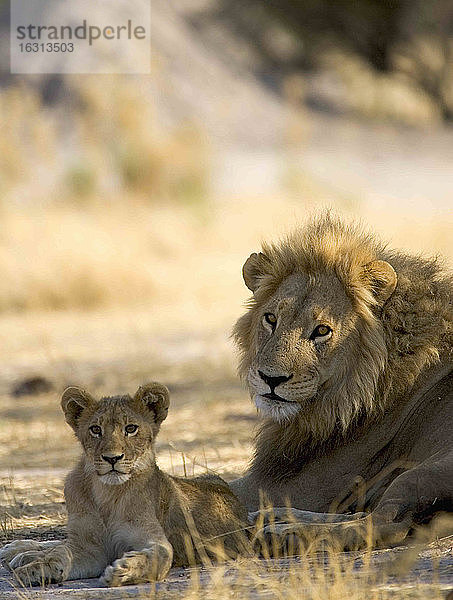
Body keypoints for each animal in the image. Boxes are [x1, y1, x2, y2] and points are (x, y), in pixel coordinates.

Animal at [230, 213, 452, 548]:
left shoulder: (297, 485)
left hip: (427, 470)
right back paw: (275, 519)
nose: (270, 378)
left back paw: (280, 533)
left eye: (322, 330)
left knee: (385, 524)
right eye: (270, 319)